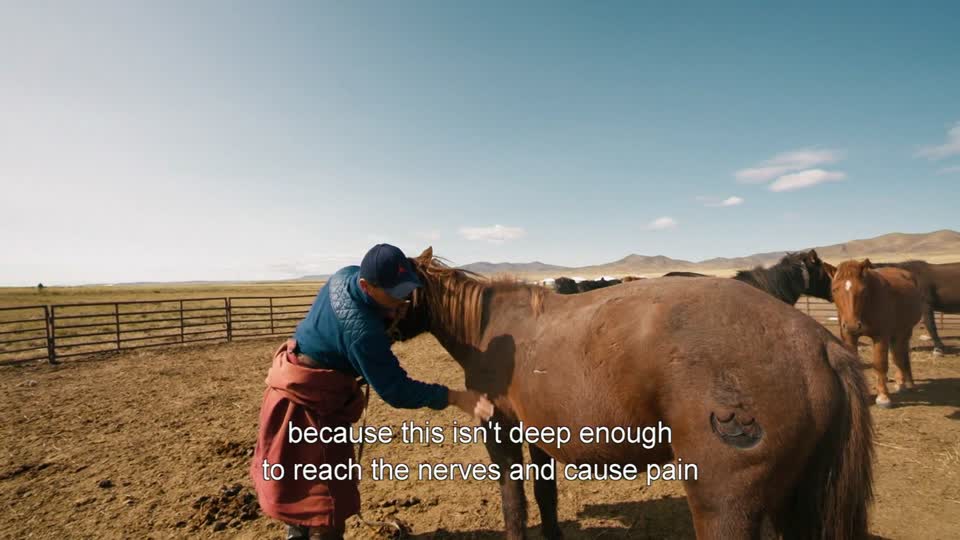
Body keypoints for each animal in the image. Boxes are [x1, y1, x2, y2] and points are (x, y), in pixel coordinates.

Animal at [394, 247, 874, 540]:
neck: (494, 330)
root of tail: (822, 344)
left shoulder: (500, 431)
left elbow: (514, 501)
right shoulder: (538, 434)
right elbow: (545, 496)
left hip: (724, 505)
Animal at [831, 259, 924, 408]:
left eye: (862, 290)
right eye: (834, 290)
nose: (851, 325)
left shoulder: (881, 336)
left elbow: (880, 363)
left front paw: (883, 397)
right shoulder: (850, 337)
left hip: (905, 330)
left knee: (902, 354)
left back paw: (908, 383)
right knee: (897, 354)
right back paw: (900, 383)